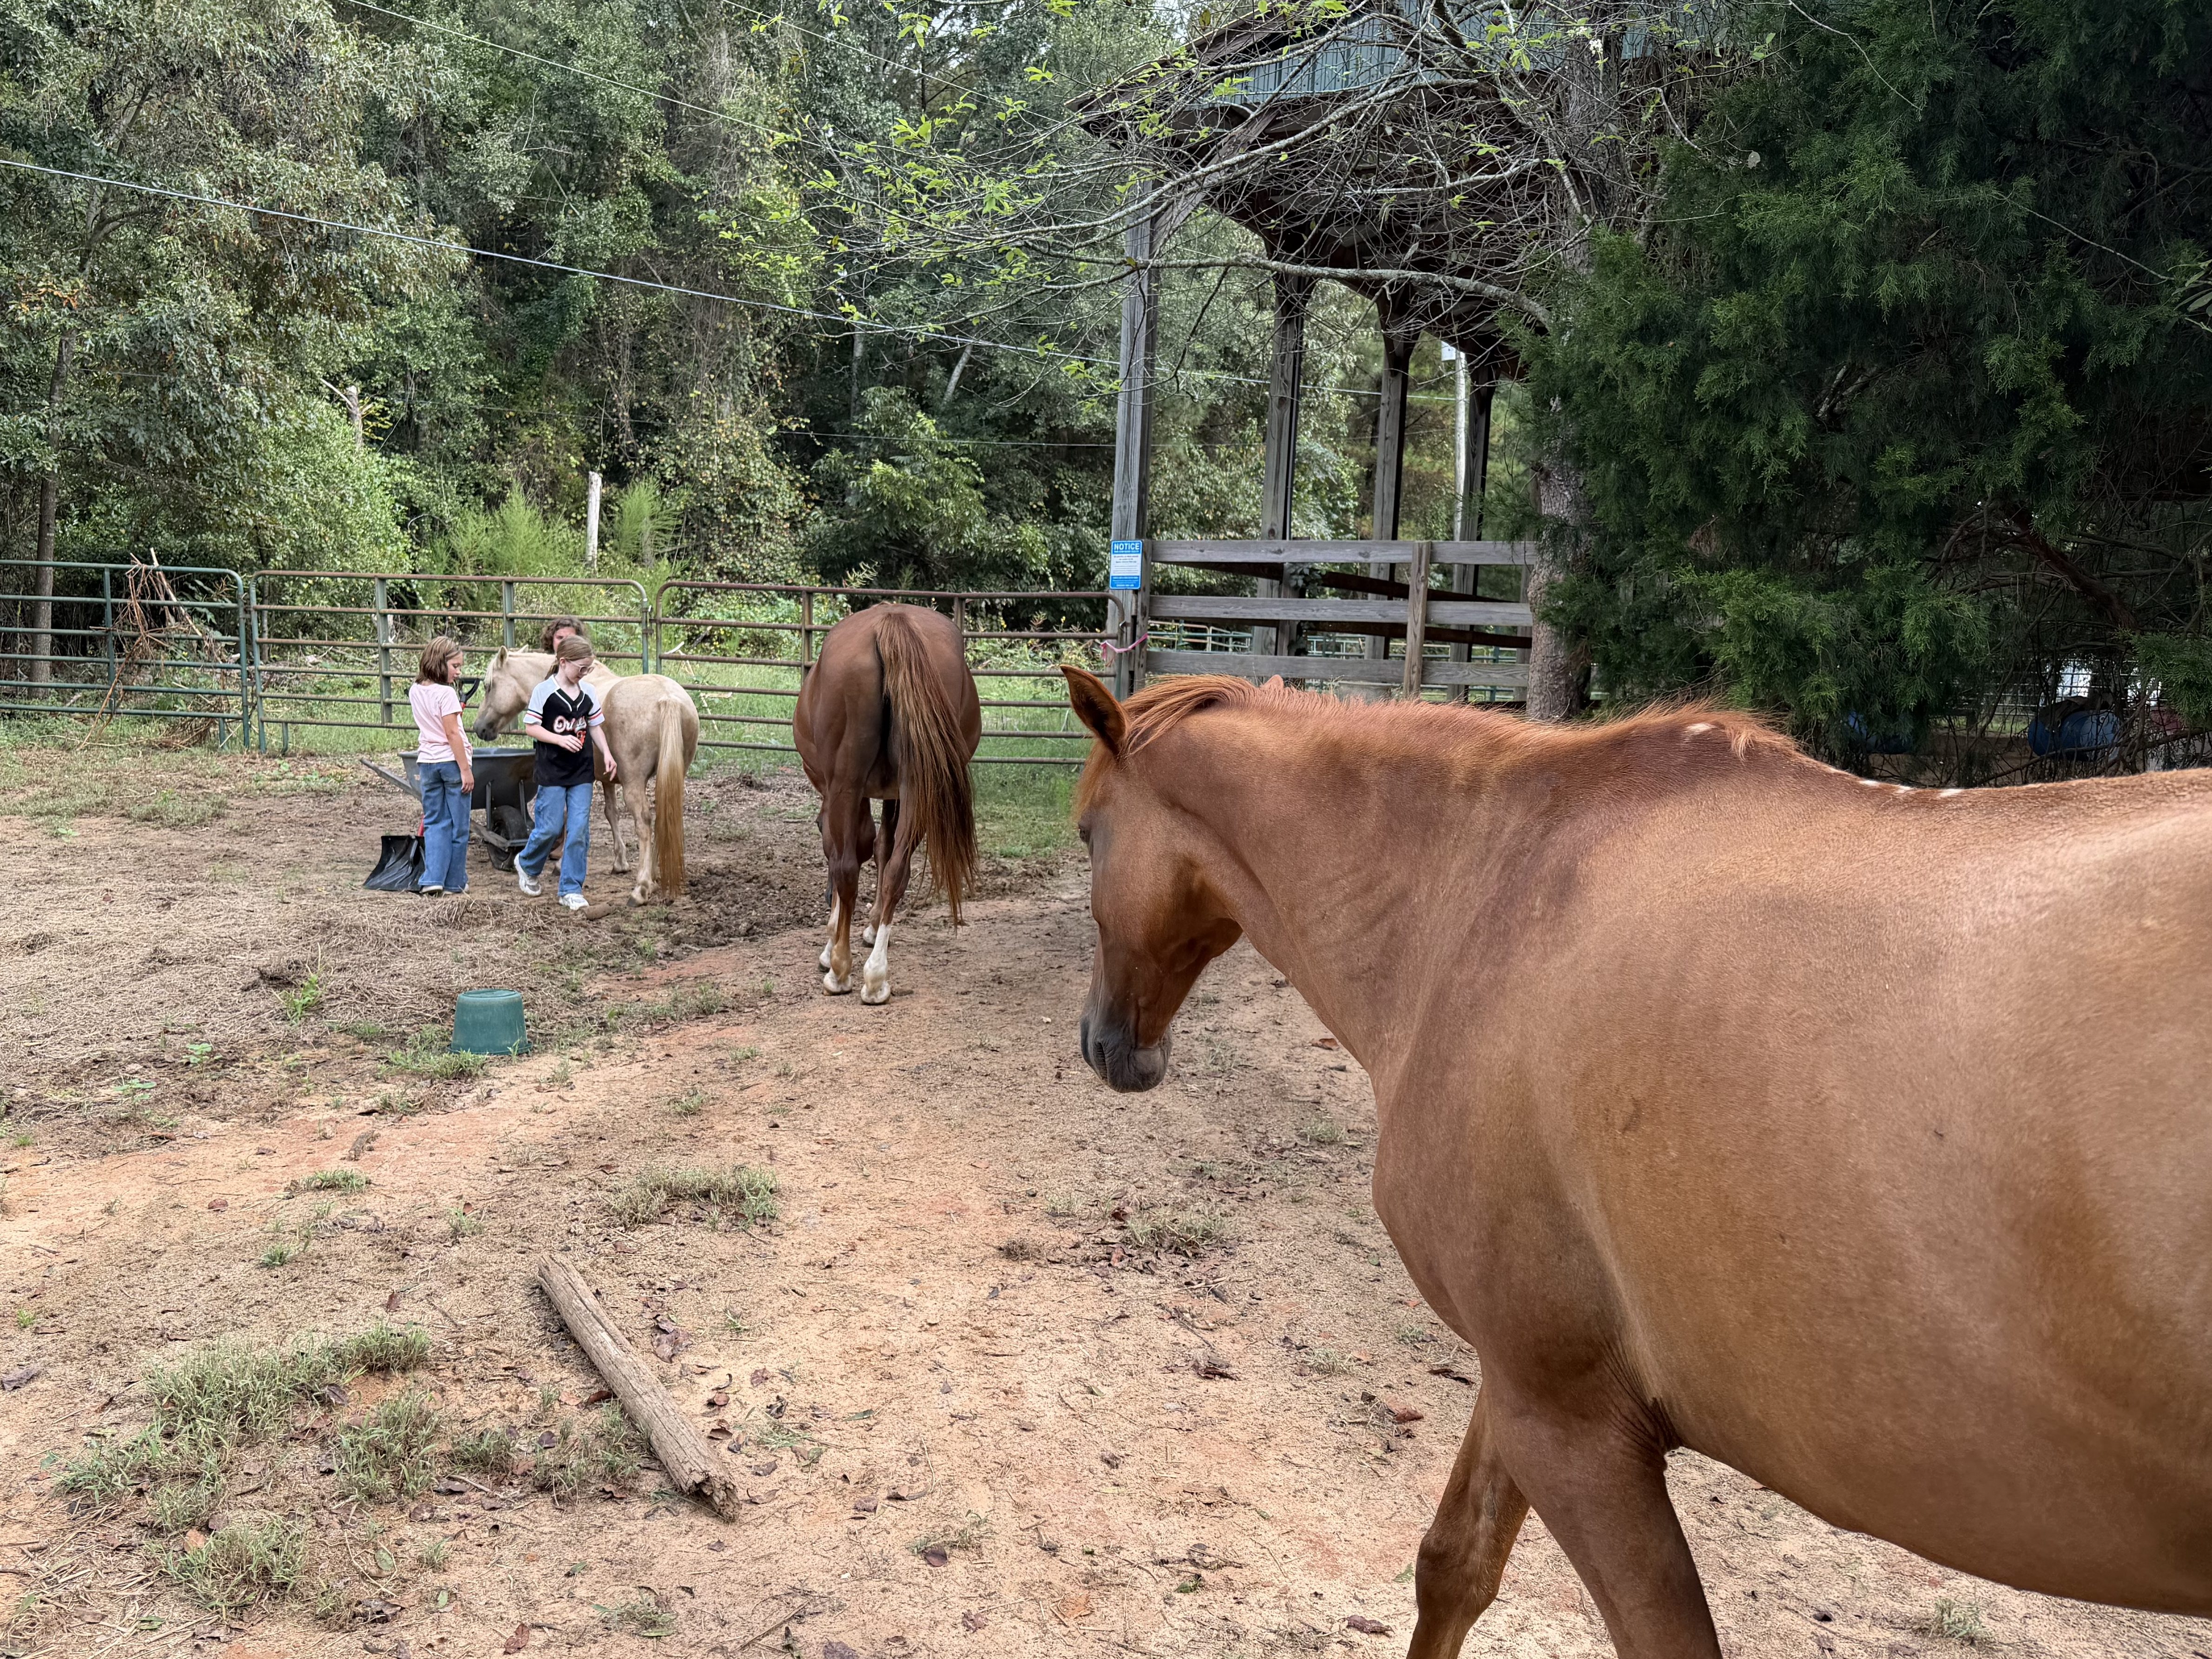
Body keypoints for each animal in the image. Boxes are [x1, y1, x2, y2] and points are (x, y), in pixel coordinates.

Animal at [473, 647, 699, 902]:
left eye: (489, 686)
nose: (479, 728)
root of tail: (668, 699)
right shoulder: (607, 778)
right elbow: (611, 814)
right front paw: (620, 863)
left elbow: (567, 818)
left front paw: (560, 865)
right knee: (664, 818)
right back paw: (655, 874)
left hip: (634, 784)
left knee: (644, 823)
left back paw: (641, 887)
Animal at [792, 603, 979, 1004]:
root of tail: (892, 621)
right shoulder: (895, 793)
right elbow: (883, 848)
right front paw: (874, 926)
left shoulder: (842, 791)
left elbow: (846, 852)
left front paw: (831, 944)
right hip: (921, 787)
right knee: (897, 870)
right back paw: (877, 977)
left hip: (848, 783)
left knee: (847, 868)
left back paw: (841, 971)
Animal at [1057, 665, 2212, 1658]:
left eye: (1086, 835)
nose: (1108, 1046)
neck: (1481, 895)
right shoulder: (1528, 1377)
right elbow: (1453, 1566)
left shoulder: (1570, 1428)